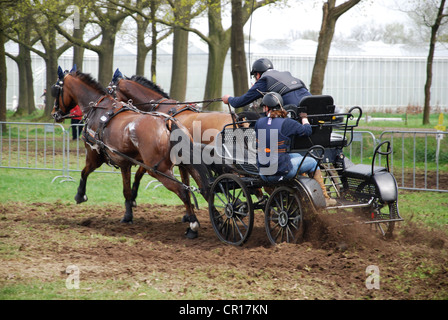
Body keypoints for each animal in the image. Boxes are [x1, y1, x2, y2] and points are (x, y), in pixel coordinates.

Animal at [51, 66, 209, 239]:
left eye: (56, 89)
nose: (54, 113)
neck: (99, 110)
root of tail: (168, 122)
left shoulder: (94, 155)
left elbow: (84, 172)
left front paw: (80, 195)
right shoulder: (125, 162)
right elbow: (127, 188)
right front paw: (128, 213)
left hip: (159, 169)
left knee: (183, 191)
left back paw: (193, 226)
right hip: (184, 163)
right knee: (201, 186)